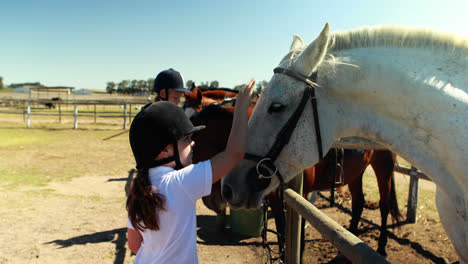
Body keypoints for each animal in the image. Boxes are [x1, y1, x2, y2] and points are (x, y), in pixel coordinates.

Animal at [222, 23, 468, 262]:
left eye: (276, 106)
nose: (228, 187)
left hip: (383, 167)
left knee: (384, 205)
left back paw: (381, 248)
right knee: (358, 202)